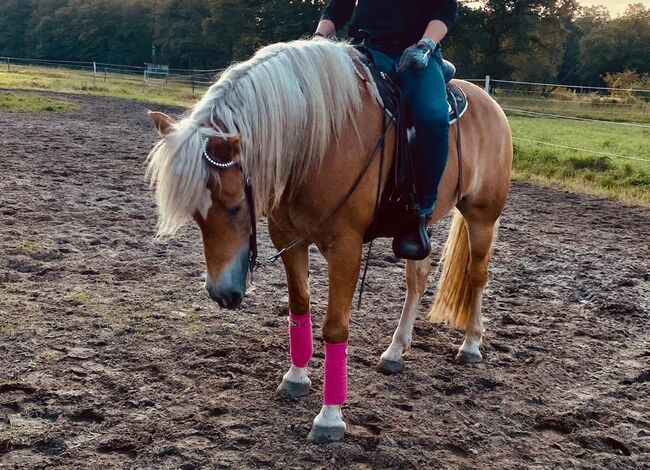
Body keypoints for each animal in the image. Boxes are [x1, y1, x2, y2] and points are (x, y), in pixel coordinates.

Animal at [147, 38, 512, 442]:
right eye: (197, 214)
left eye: (235, 205)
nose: (220, 293)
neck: (318, 142)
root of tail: (488, 101)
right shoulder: (289, 238)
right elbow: (299, 307)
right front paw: (295, 378)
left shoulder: (345, 248)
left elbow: (335, 327)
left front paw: (330, 417)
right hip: (418, 232)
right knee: (417, 279)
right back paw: (395, 351)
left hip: (482, 216)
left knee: (477, 276)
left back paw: (471, 345)